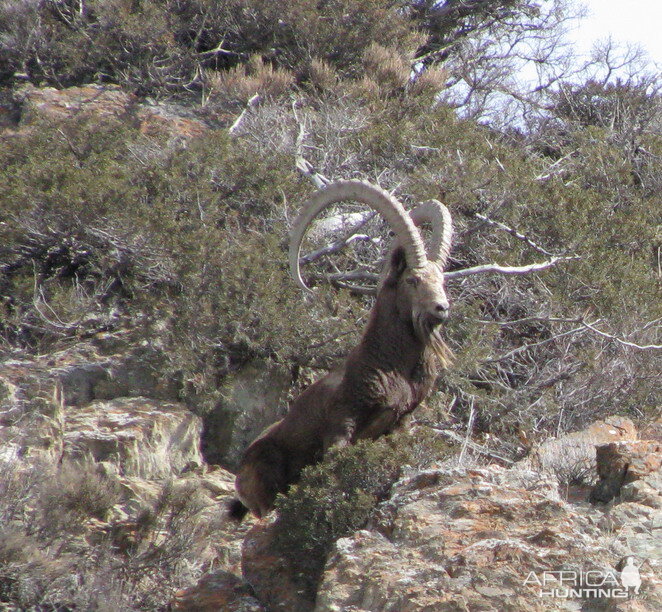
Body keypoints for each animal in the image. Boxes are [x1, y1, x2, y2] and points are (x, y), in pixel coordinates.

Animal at [231, 179, 454, 520]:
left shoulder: (401, 423)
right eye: (413, 280)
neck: (389, 365)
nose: (441, 308)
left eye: (441, 279)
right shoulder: (341, 423)